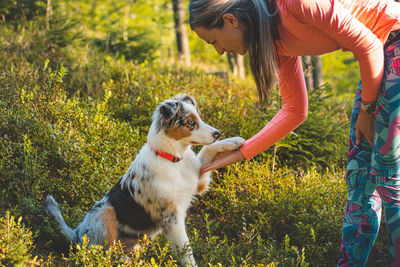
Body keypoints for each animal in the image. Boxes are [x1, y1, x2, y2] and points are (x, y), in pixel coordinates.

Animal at [43, 94, 244, 266]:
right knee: (99, 253)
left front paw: (233, 141)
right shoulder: (172, 218)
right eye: (191, 122)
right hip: (104, 214)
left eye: (199, 118)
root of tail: (76, 233)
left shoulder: (198, 180)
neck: (172, 159)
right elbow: (187, 252)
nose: (217, 133)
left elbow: (207, 150)